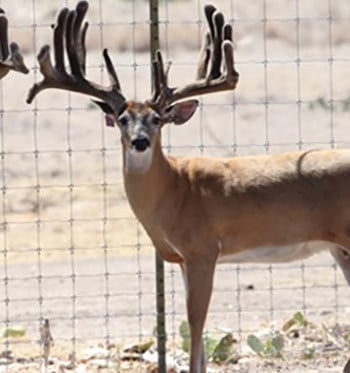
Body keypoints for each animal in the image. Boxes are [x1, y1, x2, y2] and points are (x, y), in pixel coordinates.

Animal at [26, 1, 350, 370]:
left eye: (157, 118)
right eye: (122, 119)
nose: (139, 142)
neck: (176, 190)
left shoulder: (203, 249)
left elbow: (196, 324)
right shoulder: (183, 258)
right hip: (339, 247)